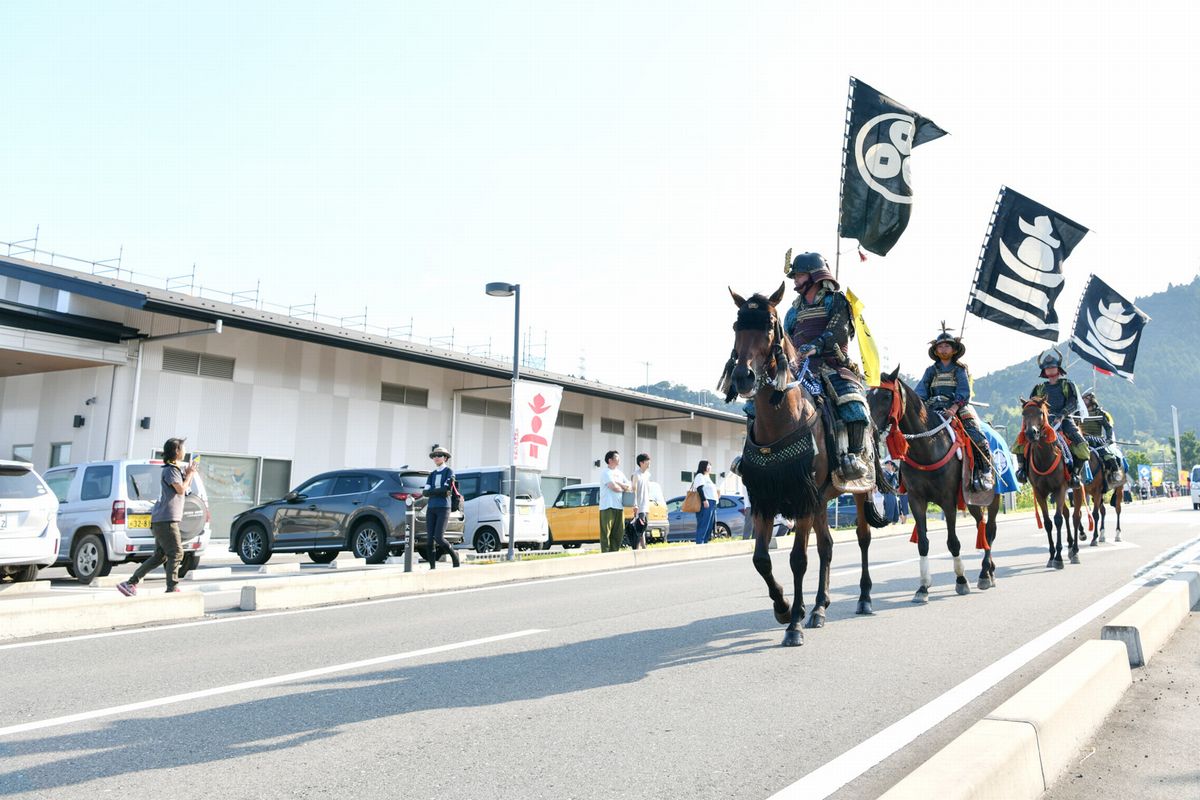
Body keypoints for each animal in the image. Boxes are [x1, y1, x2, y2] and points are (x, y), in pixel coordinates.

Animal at [715, 284, 888, 647]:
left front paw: (793, 624)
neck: (781, 419)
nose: (743, 376)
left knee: (862, 538)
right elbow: (761, 559)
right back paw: (820, 607)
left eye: (769, 326)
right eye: (737, 326)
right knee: (827, 546)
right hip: (821, 500)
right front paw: (783, 608)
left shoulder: (801, 497)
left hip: (858, 491)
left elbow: (798, 560)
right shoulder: (767, 499)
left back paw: (864, 598)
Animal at [868, 367, 998, 597]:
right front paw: (923, 587)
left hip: (992, 498)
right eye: (867, 395)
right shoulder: (915, 500)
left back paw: (984, 574)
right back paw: (988, 571)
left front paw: (961, 580)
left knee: (989, 530)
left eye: (885, 396)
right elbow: (923, 543)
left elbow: (953, 542)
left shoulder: (948, 500)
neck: (927, 446)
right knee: (981, 526)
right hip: (972, 500)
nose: (870, 427)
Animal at [1017, 398, 1084, 566]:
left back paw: (1075, 551)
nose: (1031, 433)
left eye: (1040, 413)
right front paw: (1052, 555)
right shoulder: (1039, 492)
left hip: (1077, 487)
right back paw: (1070, 547)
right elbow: (1048, 522)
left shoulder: (1060, 488)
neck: (1044, 458)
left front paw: (1058, 558)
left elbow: (1058, 520)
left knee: (1075, 516)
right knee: (1067, 513)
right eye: (1024, 413)